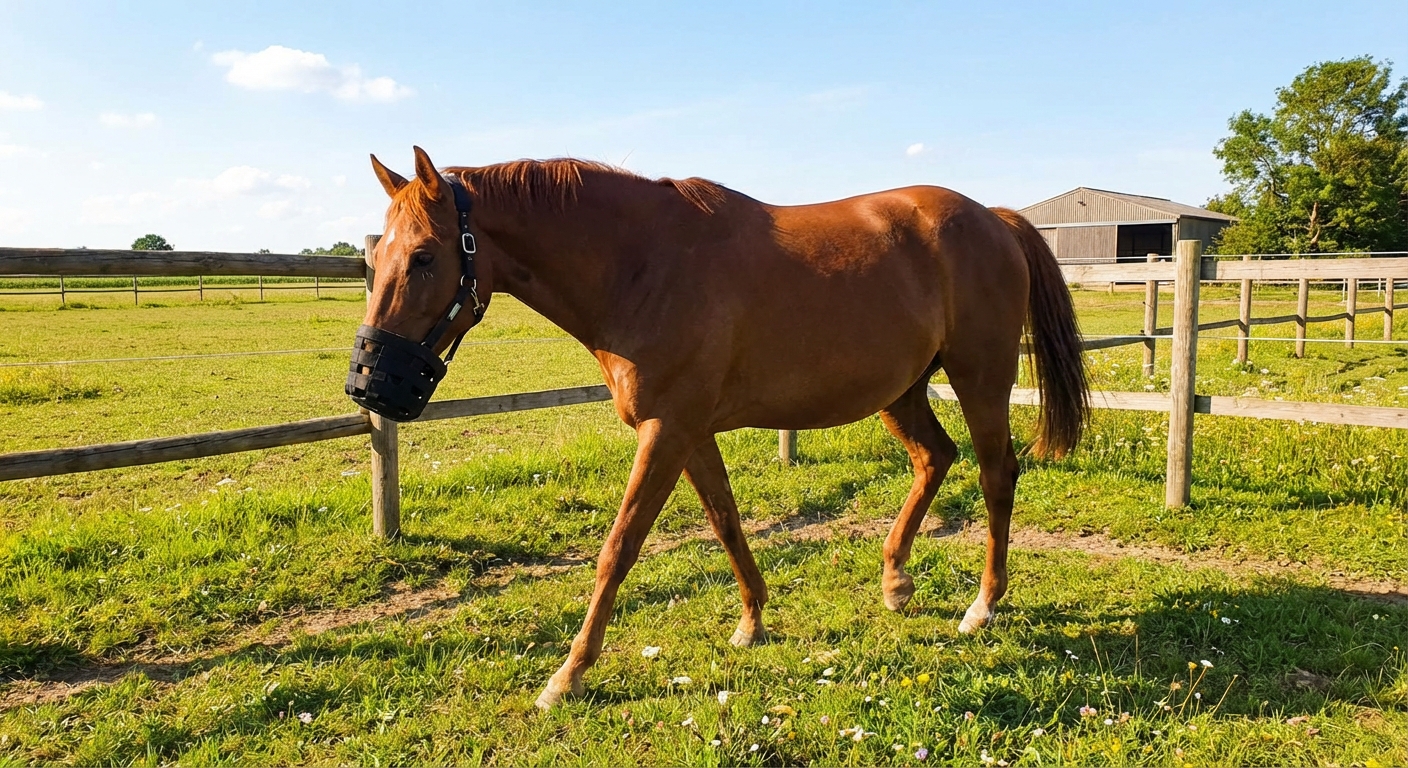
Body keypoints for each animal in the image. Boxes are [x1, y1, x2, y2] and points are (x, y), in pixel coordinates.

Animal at [348, 147, 1088, 709]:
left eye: (424, 256)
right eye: (374, 261)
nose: (367, 383)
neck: (643, 264)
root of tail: (994, 219)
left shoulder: (667, 431)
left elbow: (618, 549)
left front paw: (567, 675)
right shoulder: (689, 433)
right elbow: (726, 521)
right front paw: (753, 621)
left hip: (979, 378)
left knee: (996, 475)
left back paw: (982, 606)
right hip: (901, 391)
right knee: (935, 458)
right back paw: (895, 581)